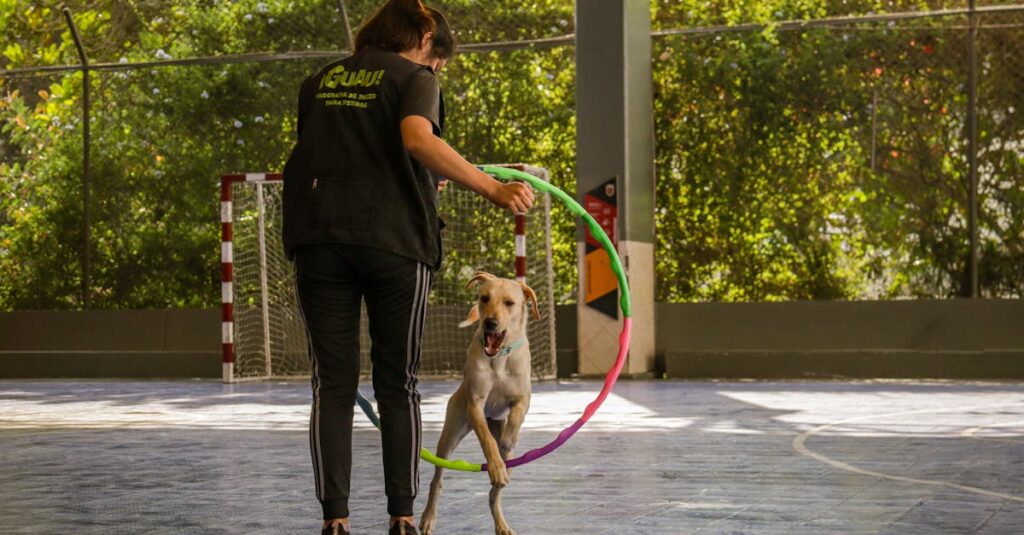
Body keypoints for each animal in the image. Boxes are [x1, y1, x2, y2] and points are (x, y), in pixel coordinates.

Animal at [417, 270, 540, 532]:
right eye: (484, 298)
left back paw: (502, 524)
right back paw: (428, 518)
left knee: (494, 495)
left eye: (509, 303)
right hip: (450, 435)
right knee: (437, 480)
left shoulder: (523, 399)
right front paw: (494, 465)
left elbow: (515, 418)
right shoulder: (475, 404)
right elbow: (487, 440)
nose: (490, 323)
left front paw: (509, 438)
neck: (500, 357)